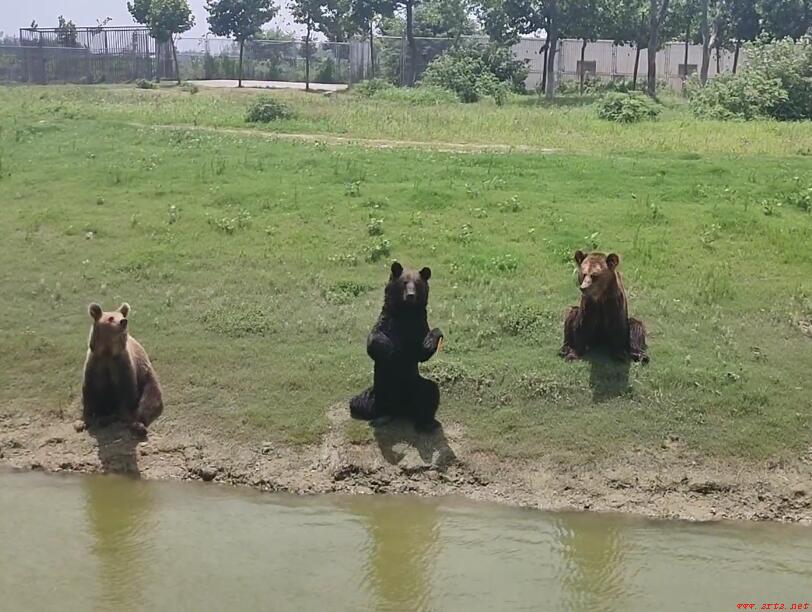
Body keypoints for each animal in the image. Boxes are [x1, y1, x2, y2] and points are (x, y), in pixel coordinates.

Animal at [76, 302, 163, 436]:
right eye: (110, 318)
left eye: (121, 316)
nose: (123, 321)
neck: (108, 352)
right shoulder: (95, 363)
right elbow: (89, 391)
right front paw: (81, 422)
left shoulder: (122, 365)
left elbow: (128, 392)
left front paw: (127, 417)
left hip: (148, 378)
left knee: (149, 399)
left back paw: (136, 425)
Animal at [348, 260, 444, 432]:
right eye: (404, 283)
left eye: (417, 284)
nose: (411, 295)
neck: (406, 313)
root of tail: (400, 410)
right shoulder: (387, 322)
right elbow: (374, 341)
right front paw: (391, 350)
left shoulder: (418, 326)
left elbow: (421, 351)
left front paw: (430, 340)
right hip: (378, 390)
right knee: (358, 402)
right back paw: (381, 417)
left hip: (413, 385)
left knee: (429, 392)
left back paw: (426, 422)